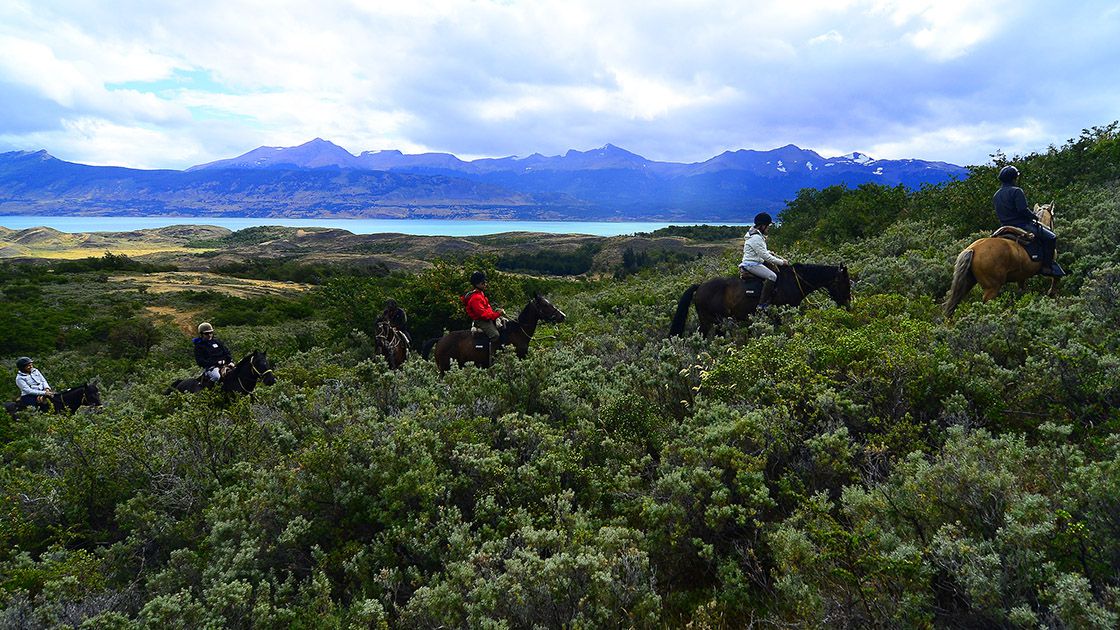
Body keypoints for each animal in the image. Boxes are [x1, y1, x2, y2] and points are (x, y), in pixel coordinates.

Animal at [667, 262, 851, 336]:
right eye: (844, 283)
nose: (848, 305)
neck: (793, 281)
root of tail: (700, 286)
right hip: (709, 320)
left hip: (718, 322)